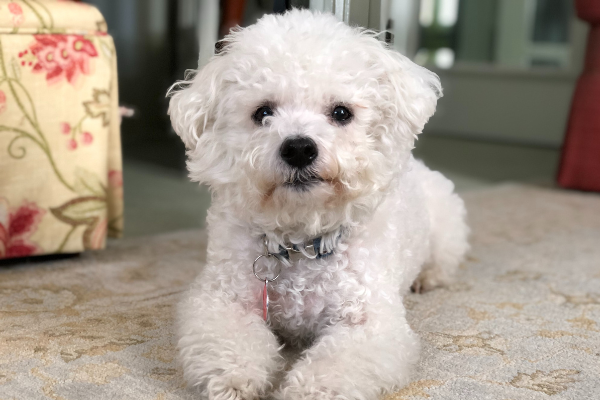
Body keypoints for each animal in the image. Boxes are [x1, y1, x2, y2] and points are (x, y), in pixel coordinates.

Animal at [169, 9, 468, 400]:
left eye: (341, 112)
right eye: (262, 112)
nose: (298, 148)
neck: (302, 239)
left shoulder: (370, 323)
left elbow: (335, 365)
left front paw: (311, 388)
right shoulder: (221, 299)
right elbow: (229, 341)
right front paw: (234, 374)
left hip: (447, 228)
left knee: (443, 263)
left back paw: (427, 279)